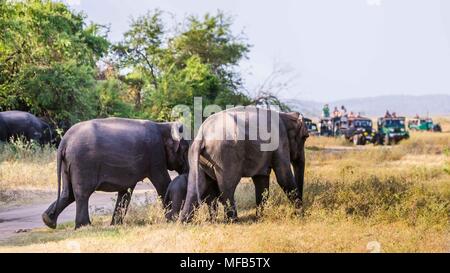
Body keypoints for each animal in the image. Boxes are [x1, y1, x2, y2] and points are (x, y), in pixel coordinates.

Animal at [41, 117, 189, 227]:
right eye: (186, 149)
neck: (163, 126)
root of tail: (64, 141)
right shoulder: (155, 154)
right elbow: (163, 183)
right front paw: (171, 220)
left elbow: (126, 191)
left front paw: (115, 225)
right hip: (82, 162)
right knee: (82, 193)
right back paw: (85, 225)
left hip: (68, 163)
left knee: (68, 192)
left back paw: (48, 221)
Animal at [180, 105, 310, 221]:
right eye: (305, 137)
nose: (298, 212)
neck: (285, 115)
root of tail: (202, 135)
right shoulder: (280, 141)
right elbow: (284, 177)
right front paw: (301, 215)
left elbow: (261, 180)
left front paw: (259, 218)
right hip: (226, 156)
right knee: (228, 187)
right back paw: (233, 220)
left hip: (200, 159)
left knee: (195, 187)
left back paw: (185, 222)